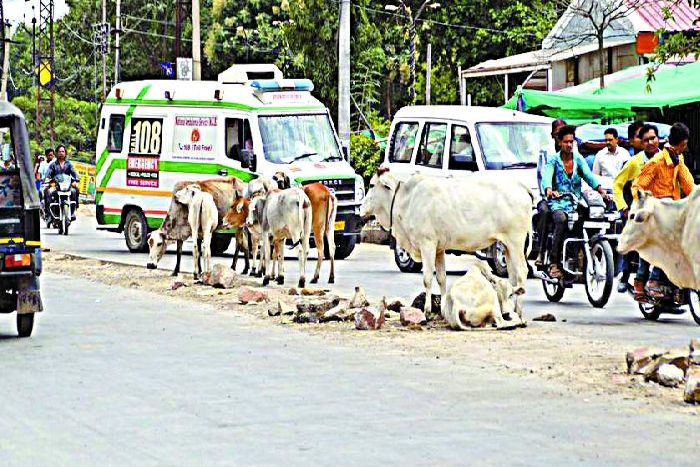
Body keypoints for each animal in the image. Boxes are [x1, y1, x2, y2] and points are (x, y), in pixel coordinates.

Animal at [360, 169, 532, 317]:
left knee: (522, 272)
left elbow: (427, 278)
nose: (360, 208)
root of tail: (521, 186)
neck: (407, 200)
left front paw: (427, 311)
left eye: (372, 185)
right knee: (512, 276)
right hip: (507, 245)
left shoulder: (427, 244)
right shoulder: (438, 250)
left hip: (516, 242)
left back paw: (519, 311)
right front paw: (443, 310)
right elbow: (441, 278)